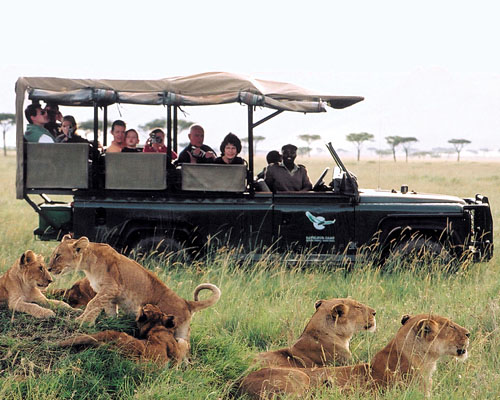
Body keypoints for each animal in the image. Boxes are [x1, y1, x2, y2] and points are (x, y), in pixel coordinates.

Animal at [48, 234, 221, 344]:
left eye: (57, 255)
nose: (48, 269)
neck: (88, 264)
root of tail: (186, 303)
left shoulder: (111, 287)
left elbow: (92, 304)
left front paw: (82, 321)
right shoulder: (110, 295)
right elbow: (108, 310)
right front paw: (108, 323)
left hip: (178, 330)